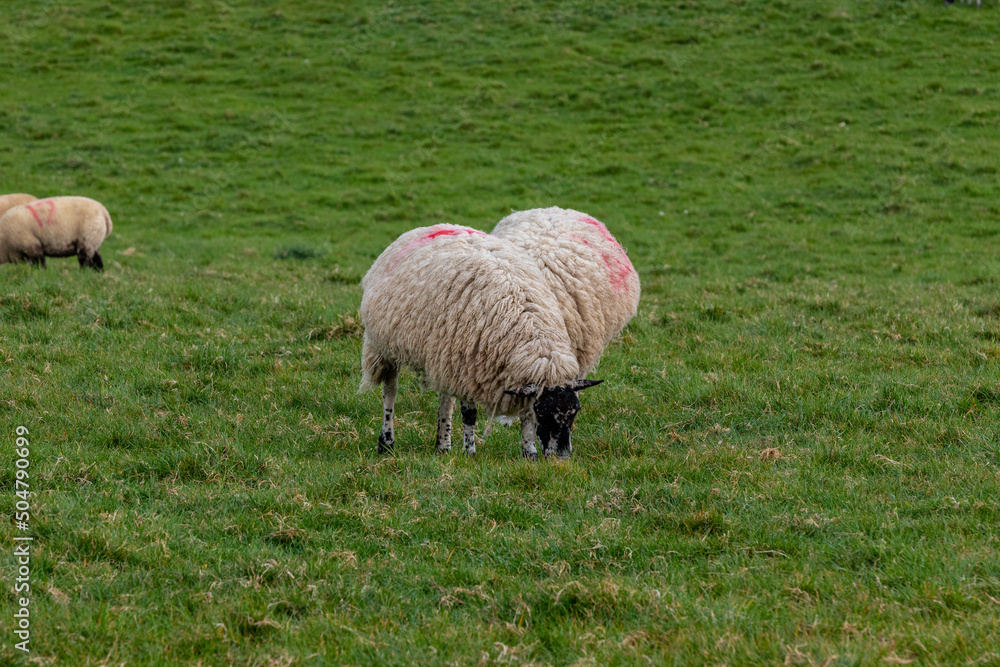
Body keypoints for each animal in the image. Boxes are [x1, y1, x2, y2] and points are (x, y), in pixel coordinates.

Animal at [360, 223, 603, 459]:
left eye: (576, 411)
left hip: (443, 355)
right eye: (543, 412)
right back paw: (386, 442)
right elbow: (470, 415)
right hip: (384, 346)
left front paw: (529, 452)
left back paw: (443, 445)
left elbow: (525, 414)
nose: (562, 457)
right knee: (390, 392)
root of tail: (425, 228)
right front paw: (470, 452)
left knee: (445, 400)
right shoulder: (468, 367)